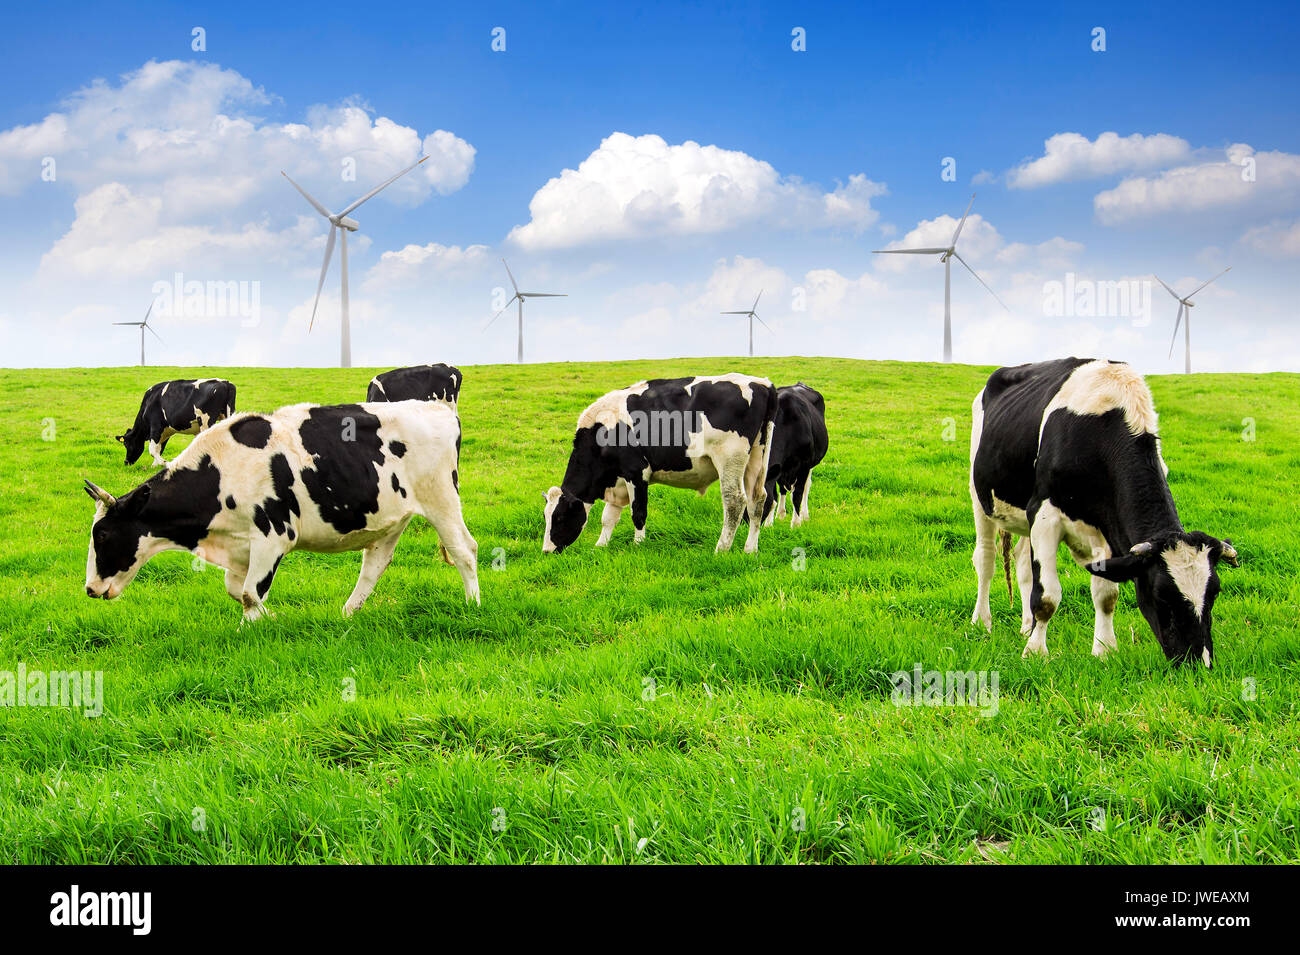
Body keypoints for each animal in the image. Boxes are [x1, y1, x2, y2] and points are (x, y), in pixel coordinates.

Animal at [83, 402, 478, 621]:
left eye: (102, 534)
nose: (89, 589)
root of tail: (439, 410)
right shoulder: (240, 546)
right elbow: (238, 590)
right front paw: (272, 617)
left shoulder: (273, 536)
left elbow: (248, 593)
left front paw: (252, 627)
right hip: (388, 517)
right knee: (374, 565)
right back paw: (347, 614)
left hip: (441, 498)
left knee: (464, 550)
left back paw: (472, 605)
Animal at [543, 374, 774, 553]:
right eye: (546, 516)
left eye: (560, 517)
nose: (547, 551)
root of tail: (761, 383)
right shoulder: (617, 480)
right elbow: (608, 517)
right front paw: (601, 546)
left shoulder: (636, 472)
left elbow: (638, 512)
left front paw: (638, 545)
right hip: (756, 457)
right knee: (758, 499)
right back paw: (750, 549)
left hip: (729, 458)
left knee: (734, 501)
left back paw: (721, 549)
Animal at [759, 382, 826, 530]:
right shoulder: (775, 468)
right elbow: (774, 495)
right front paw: (769, 523)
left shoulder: (804, 466)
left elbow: (797, 494)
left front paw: (796, 523)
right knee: (783, 489)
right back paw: (781, 514)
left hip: (811, 465)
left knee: (806, 487)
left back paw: (804, 515)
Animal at [967, 356, 1237, 665]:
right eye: (1161, 595)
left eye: (1214, 593)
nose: (1199, 661)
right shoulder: (1045, 515)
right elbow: (1047, 596)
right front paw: (1035, 653)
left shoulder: (1107, 529)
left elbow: (1106, 595)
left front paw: (1104, 650)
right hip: (979, 496)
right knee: (986, 559)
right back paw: (982, 622)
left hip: (1023, 515)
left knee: (1022, 562)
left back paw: (1025, 625)